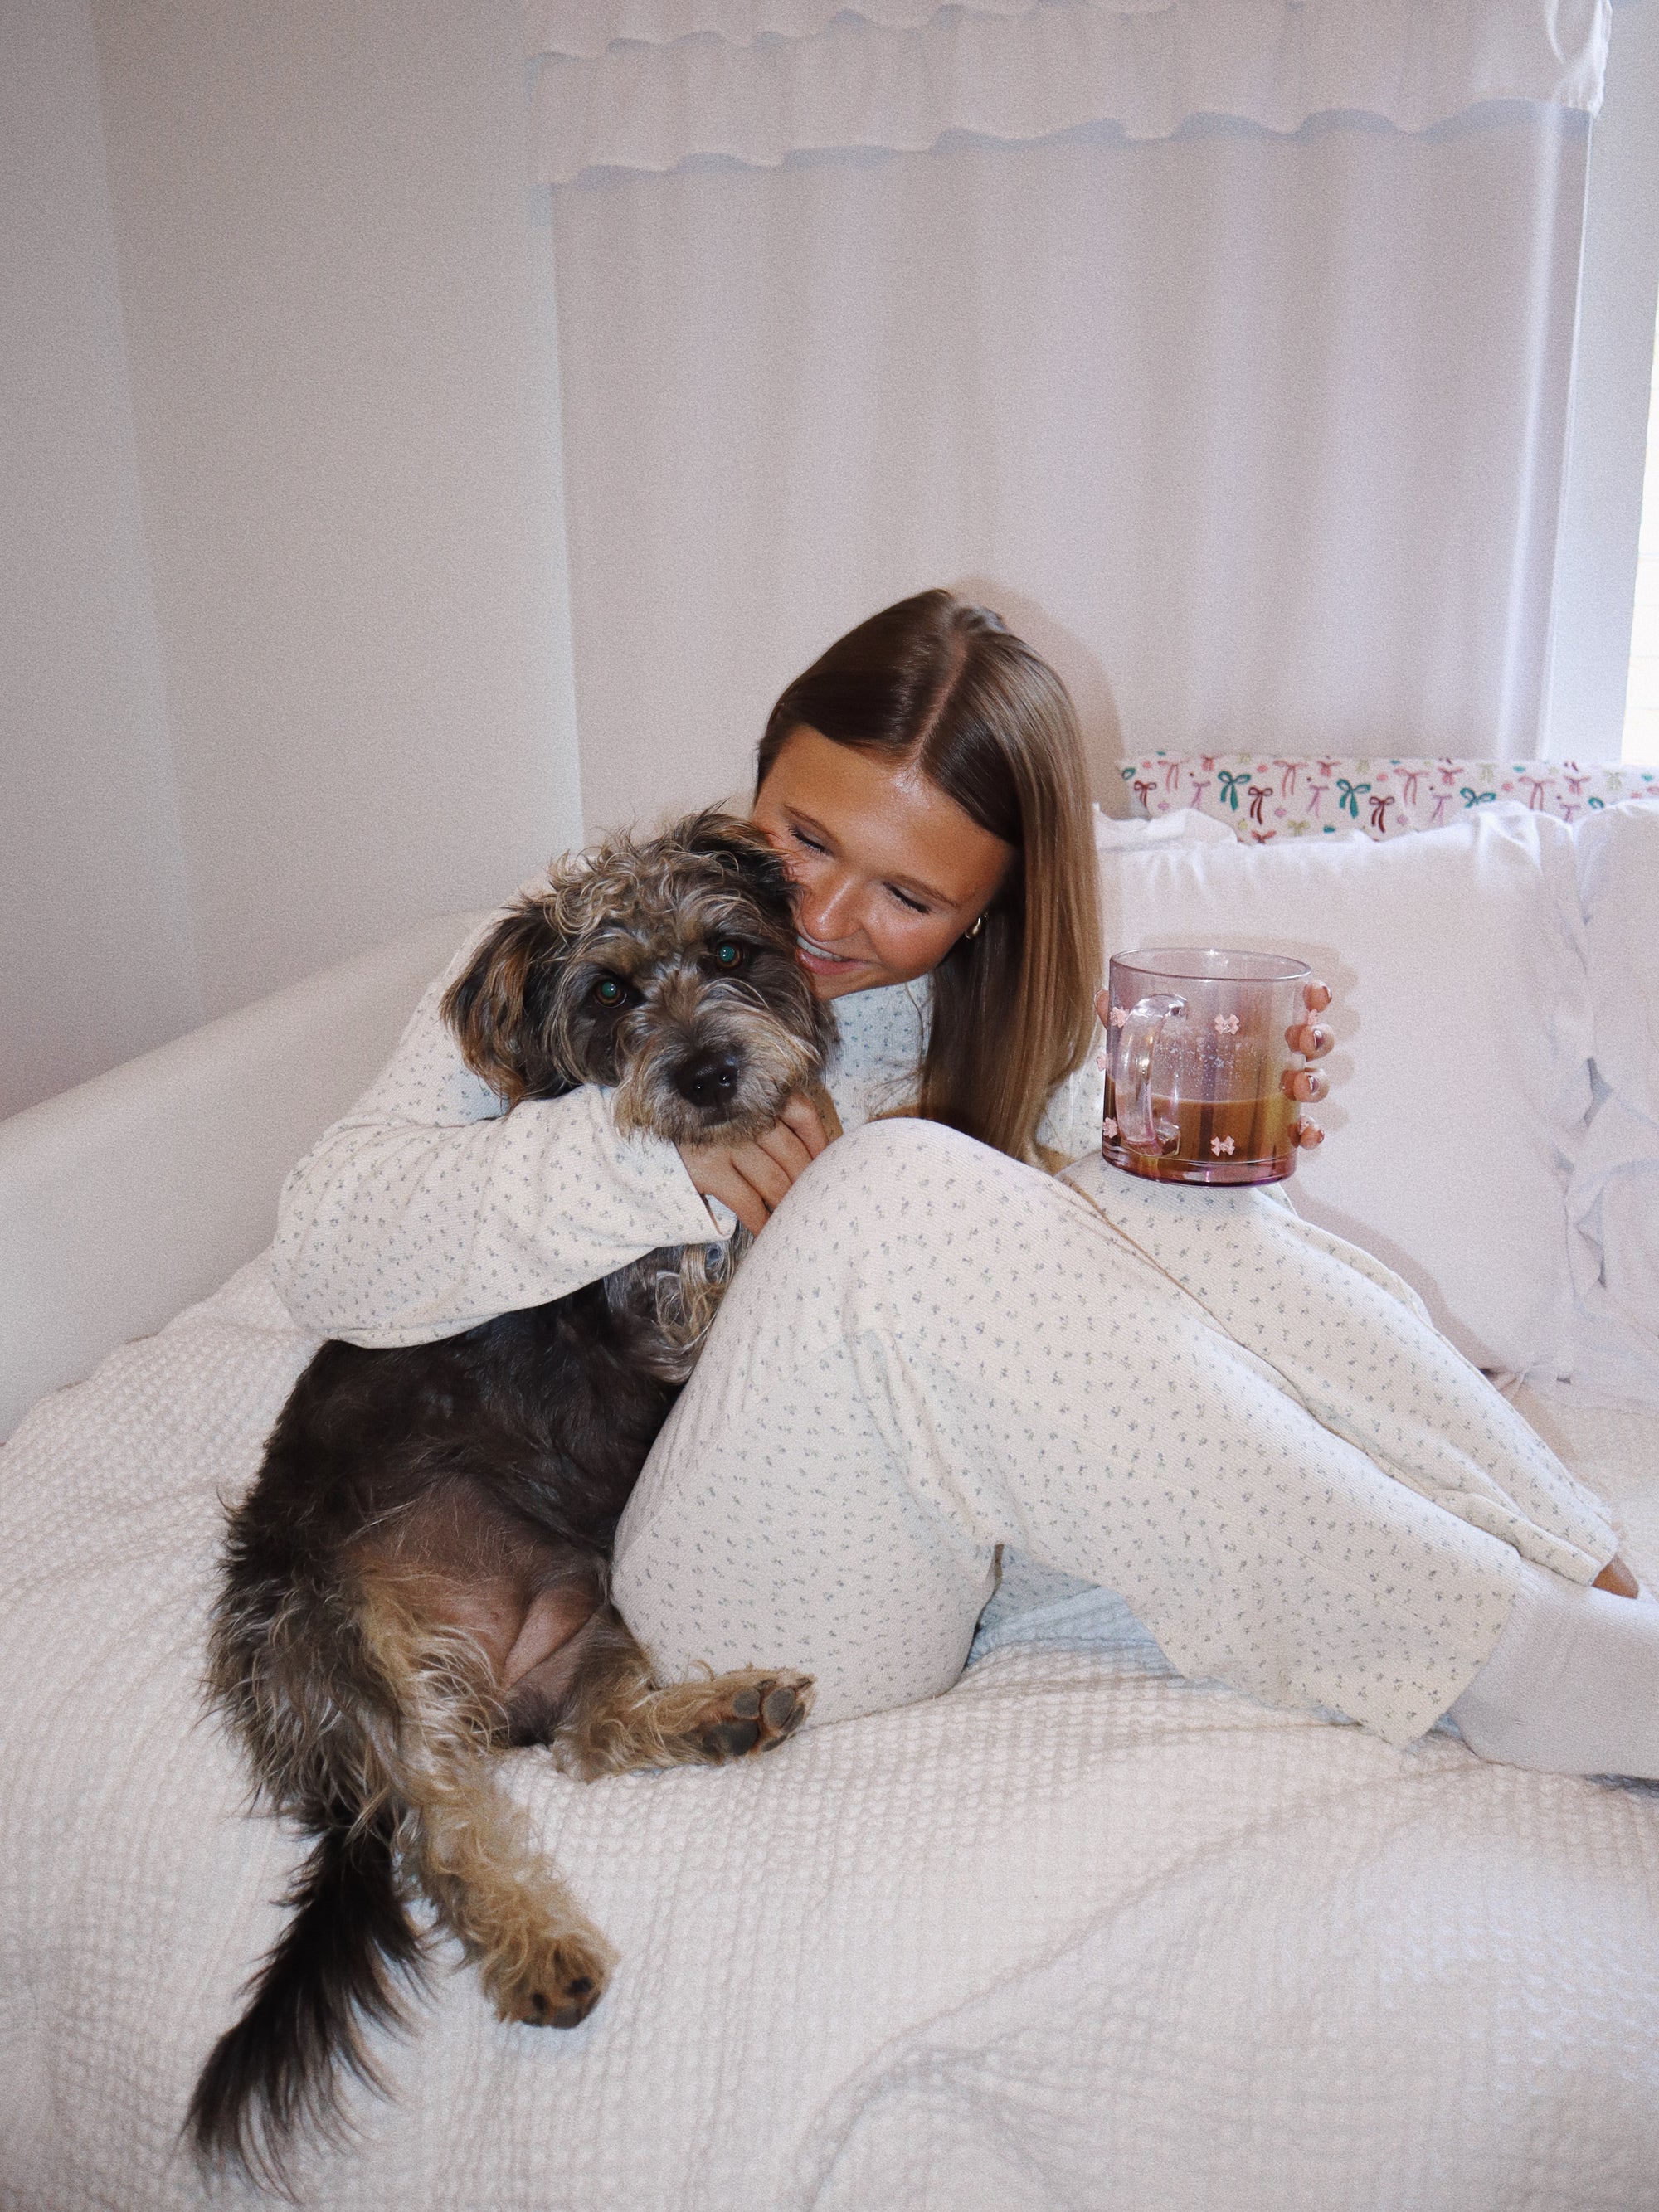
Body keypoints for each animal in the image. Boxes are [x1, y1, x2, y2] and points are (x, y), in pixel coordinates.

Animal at [190, 809, 836, 2176]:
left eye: (729, 948)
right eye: (609, 992)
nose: (707, 1074)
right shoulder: (670, 1302)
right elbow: (717, 1258)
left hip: (596, 1614)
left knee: (590, 1742)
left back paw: (720, 1714)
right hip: (347, 1656)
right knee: (449, 1831)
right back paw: (541, 1952)